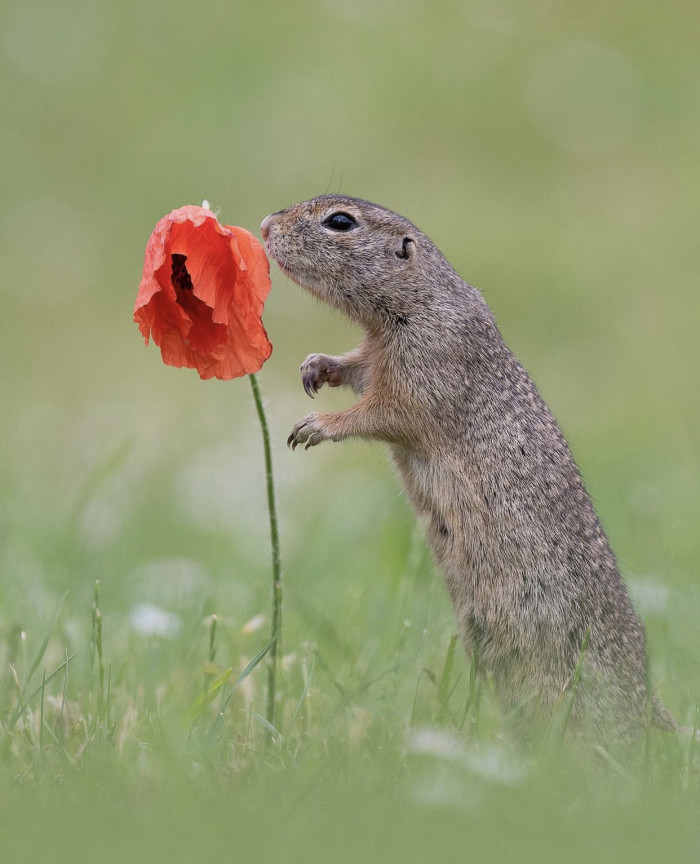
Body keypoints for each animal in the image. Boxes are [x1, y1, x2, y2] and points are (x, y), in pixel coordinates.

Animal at [260, 196, 676, 744]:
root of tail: (642, 702)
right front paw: (315, 366)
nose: (265, 225)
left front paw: (316, 425)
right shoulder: (374, 355)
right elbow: (354, 368)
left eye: (340, 222)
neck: (421, 300)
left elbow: (382, 412)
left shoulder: (425, 365)